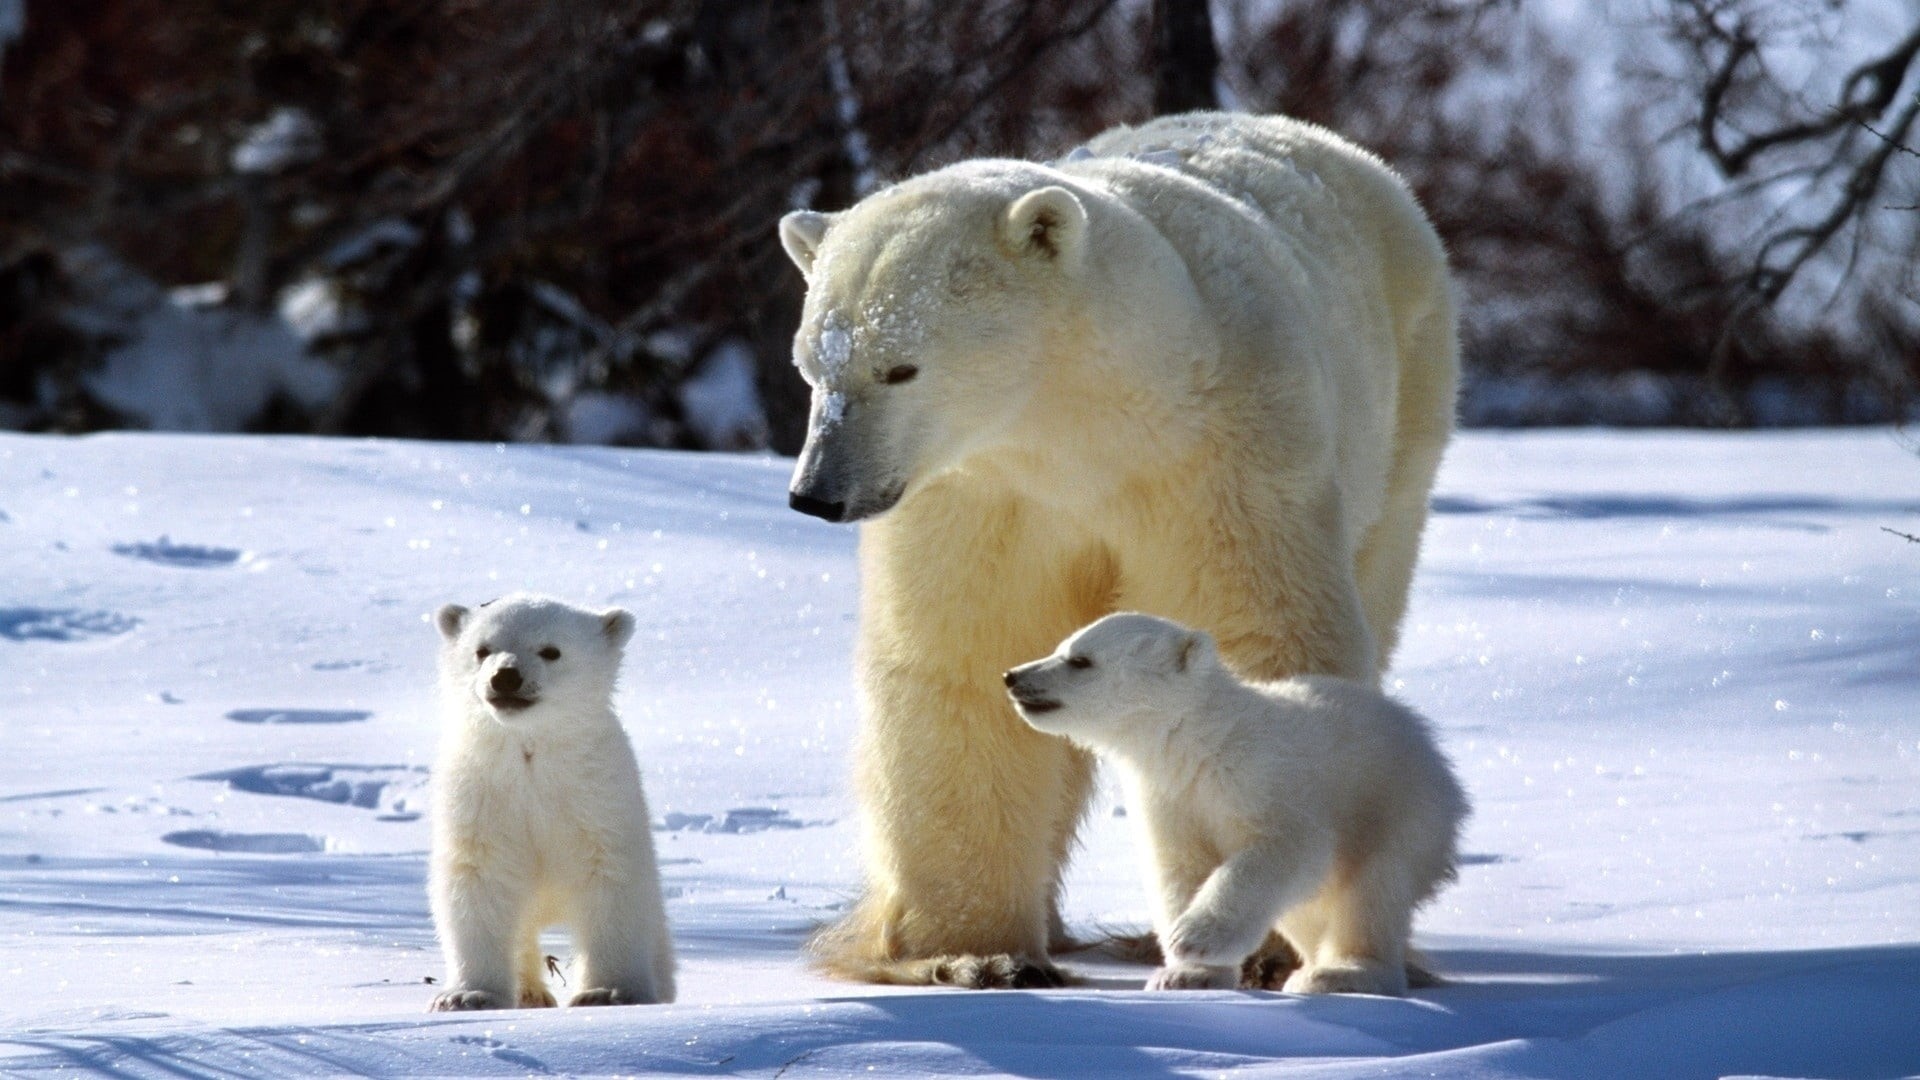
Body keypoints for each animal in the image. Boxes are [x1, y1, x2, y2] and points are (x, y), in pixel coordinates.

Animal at [426, 593, 676, 1010]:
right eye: (482, 650)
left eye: (551, 650)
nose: (505, 677)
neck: (531, 752)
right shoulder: (482, 796)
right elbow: (478, 879)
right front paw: (467, 995)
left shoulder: (596, 797)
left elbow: (611, 879)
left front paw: (608, 992)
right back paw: (530, 993)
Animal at [1005, 612, 1468, 996]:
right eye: (1062, 646)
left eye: (1080, 660)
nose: (1012, 675)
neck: (1201, 741)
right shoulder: (1169, 797)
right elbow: (1179, 868)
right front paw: (1186, 975)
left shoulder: (1263, 776)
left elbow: (1286, 847)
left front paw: (1194, 938)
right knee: (1308, 910)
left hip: (1398, 808)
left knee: (1371, 891)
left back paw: (1339, 973)